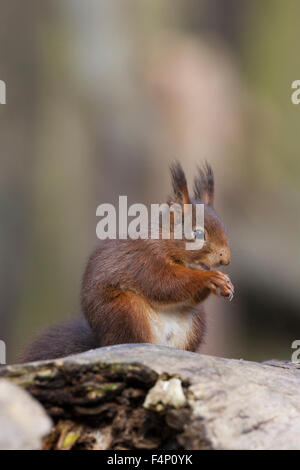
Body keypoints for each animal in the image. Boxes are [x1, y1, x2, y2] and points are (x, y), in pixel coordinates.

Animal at [22, 163, 236, 362]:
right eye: (198, 233)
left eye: (223, 226)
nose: (225, 258)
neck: (165, 240)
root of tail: (103, 343)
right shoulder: (144, 258)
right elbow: (164, 283)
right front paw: (210, 278)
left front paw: (226, 284)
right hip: (126, 311)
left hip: (195, 324)